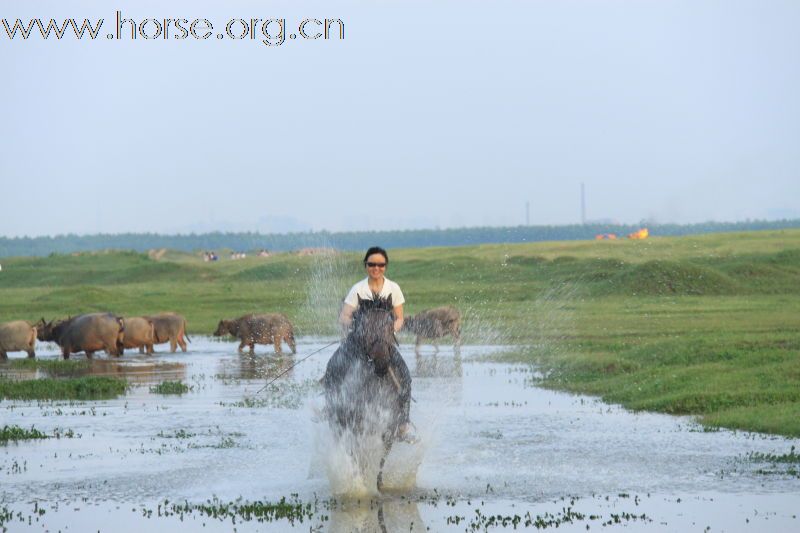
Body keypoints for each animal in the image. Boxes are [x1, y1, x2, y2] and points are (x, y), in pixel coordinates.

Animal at [322, 296, 412, 490]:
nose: (382, 362)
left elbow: (383, 450)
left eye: (390, 323)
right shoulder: (354, 422)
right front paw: (360, 484)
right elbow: (356, 452)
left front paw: (378, 484)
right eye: (364, 326)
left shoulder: (390, 421)